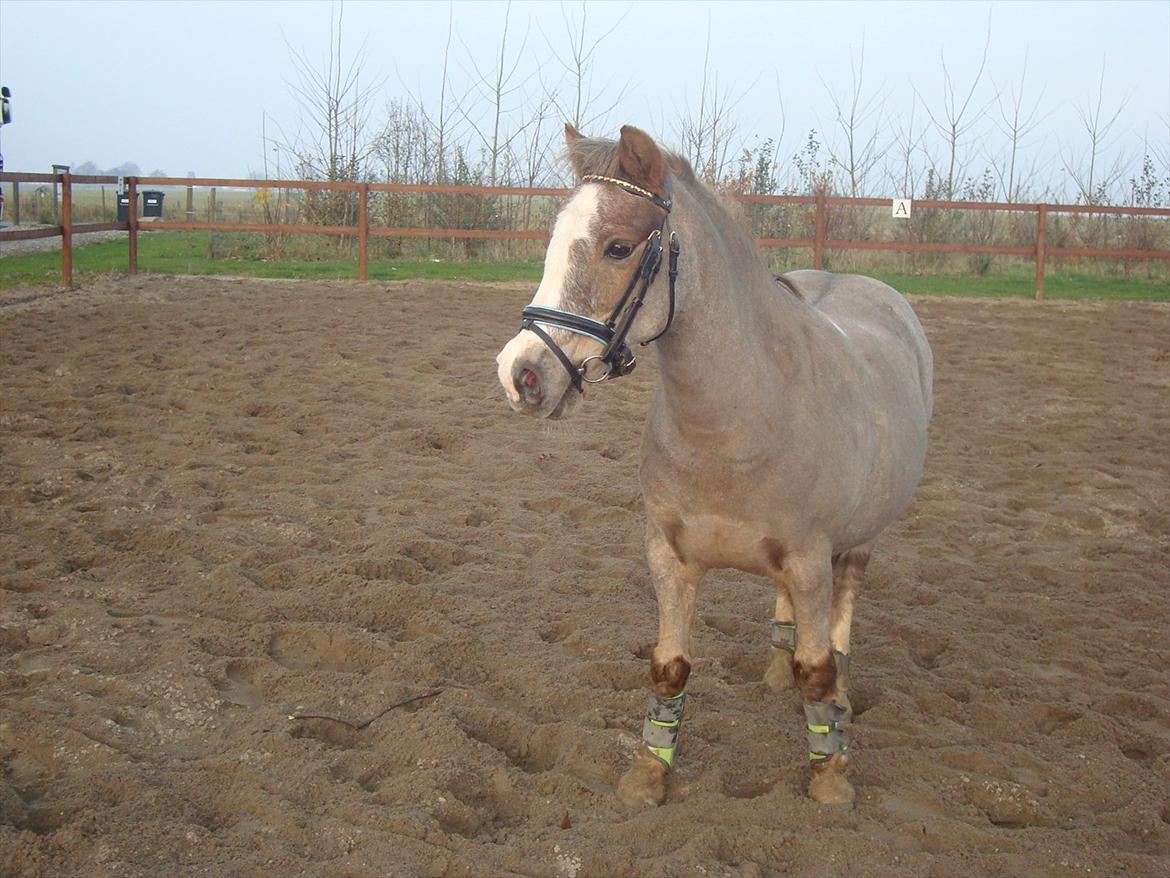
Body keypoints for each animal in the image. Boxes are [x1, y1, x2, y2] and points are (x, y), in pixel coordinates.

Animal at [493, 125, 931, 810]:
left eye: (618, 247)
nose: (521, 374)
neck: (737, 424)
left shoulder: (810, 558)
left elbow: (817, 668)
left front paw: (831, 778)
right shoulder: (670, 557)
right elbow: (669, 666)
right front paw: (648, 774)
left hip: (860, 541)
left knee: (840, 625)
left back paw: (841, 698)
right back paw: (775, 676)